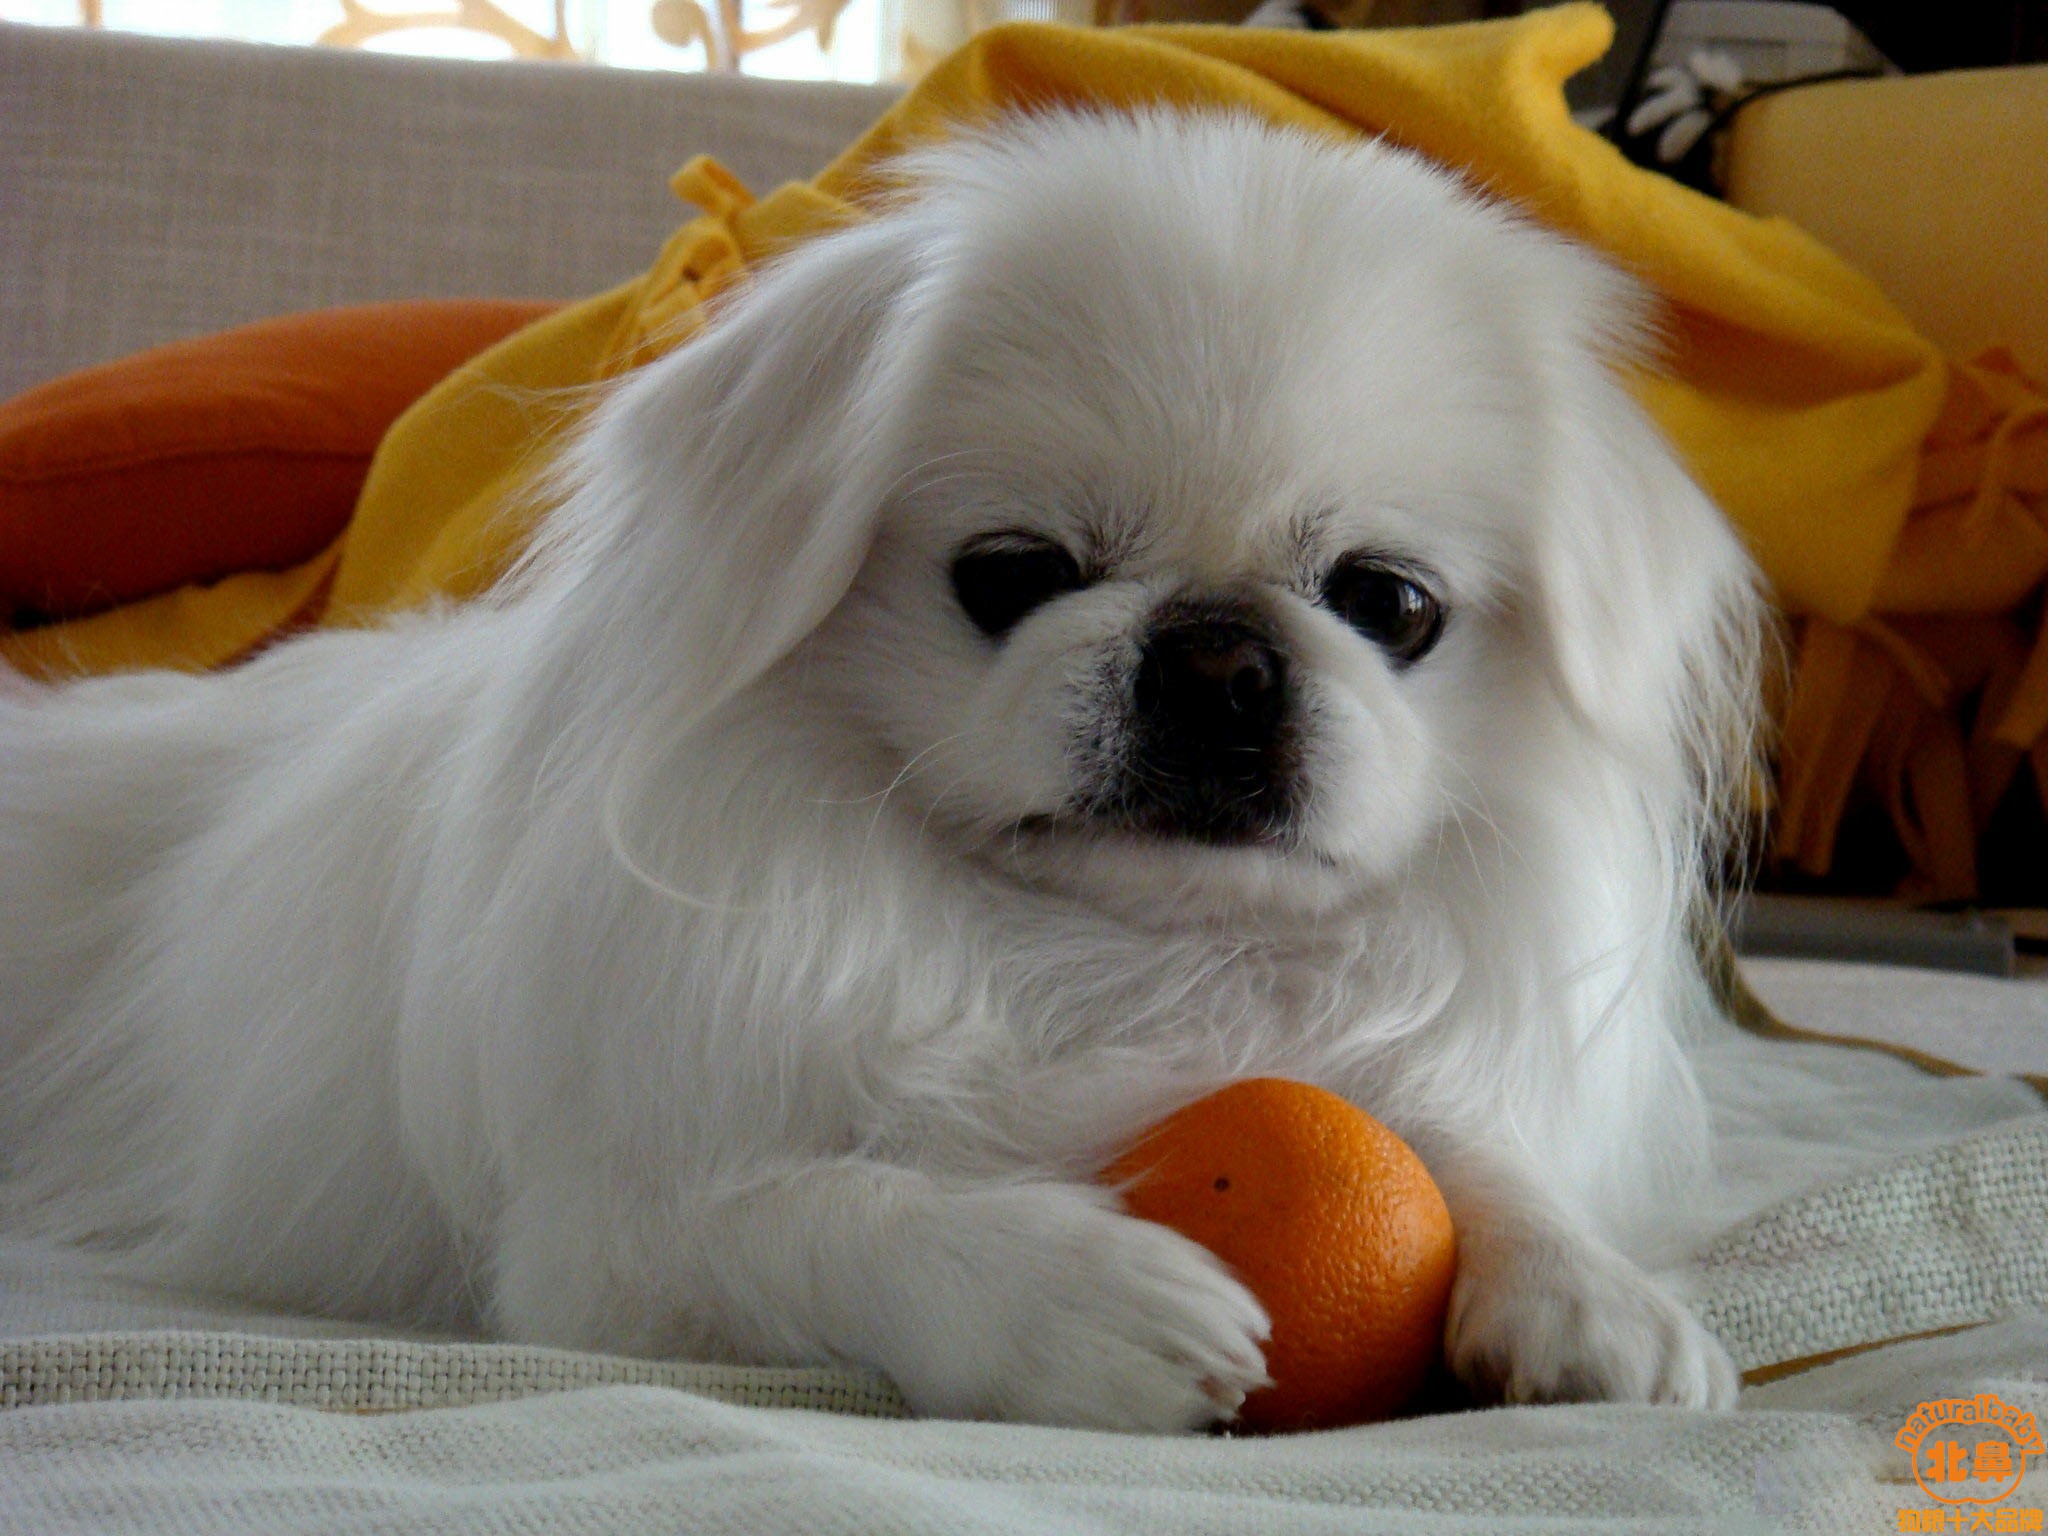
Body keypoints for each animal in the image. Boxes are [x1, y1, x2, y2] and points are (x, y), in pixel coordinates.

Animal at [0, 114, 1761, 1441]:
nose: (1217, 658)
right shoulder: (606, 1248)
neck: (1105, 955)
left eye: (1390, 606)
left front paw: (1593, 1296)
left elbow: (1473, 1151)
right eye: (1011, 575)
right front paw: (1078, 1298)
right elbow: (828, 1215)